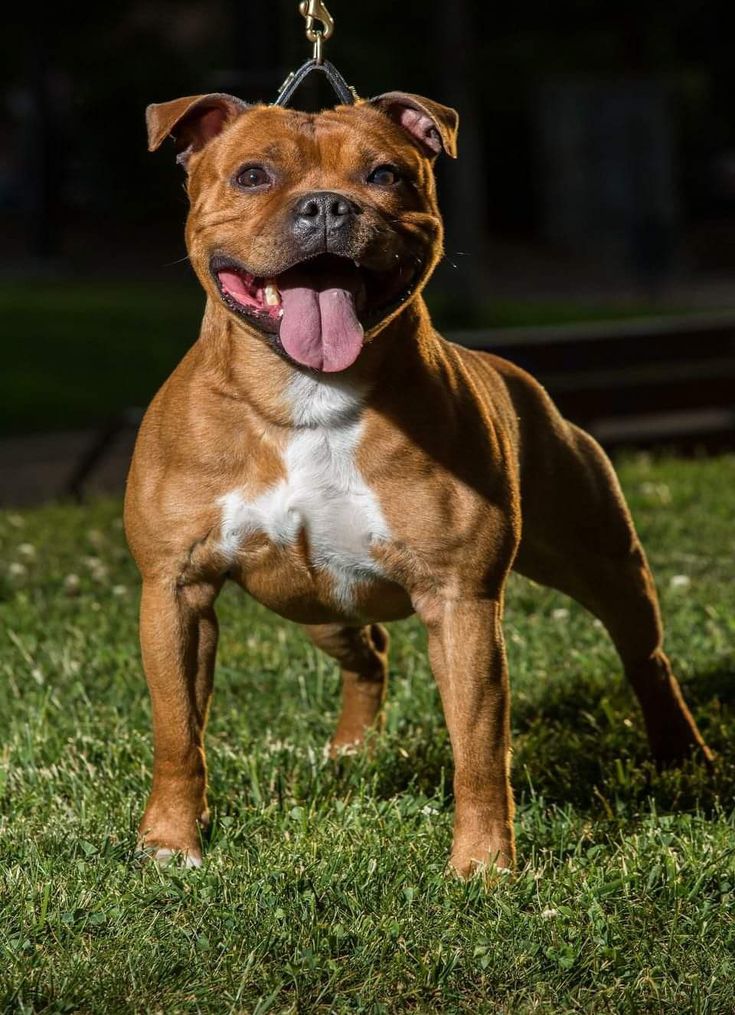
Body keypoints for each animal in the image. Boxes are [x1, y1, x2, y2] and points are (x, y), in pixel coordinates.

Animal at [126, 91, 710, 876]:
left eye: (385, 174)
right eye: (252, 175)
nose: (325, 206)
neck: (307, 398)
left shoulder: (461, 602)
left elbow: (478, 747)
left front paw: (485, 863)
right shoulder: (175, 589)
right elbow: (177, 732)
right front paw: (170, 840)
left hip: (604, 562)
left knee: (645, 656)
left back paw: (681, 753)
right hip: (315, 605)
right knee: (367, 650)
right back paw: (351, 749)